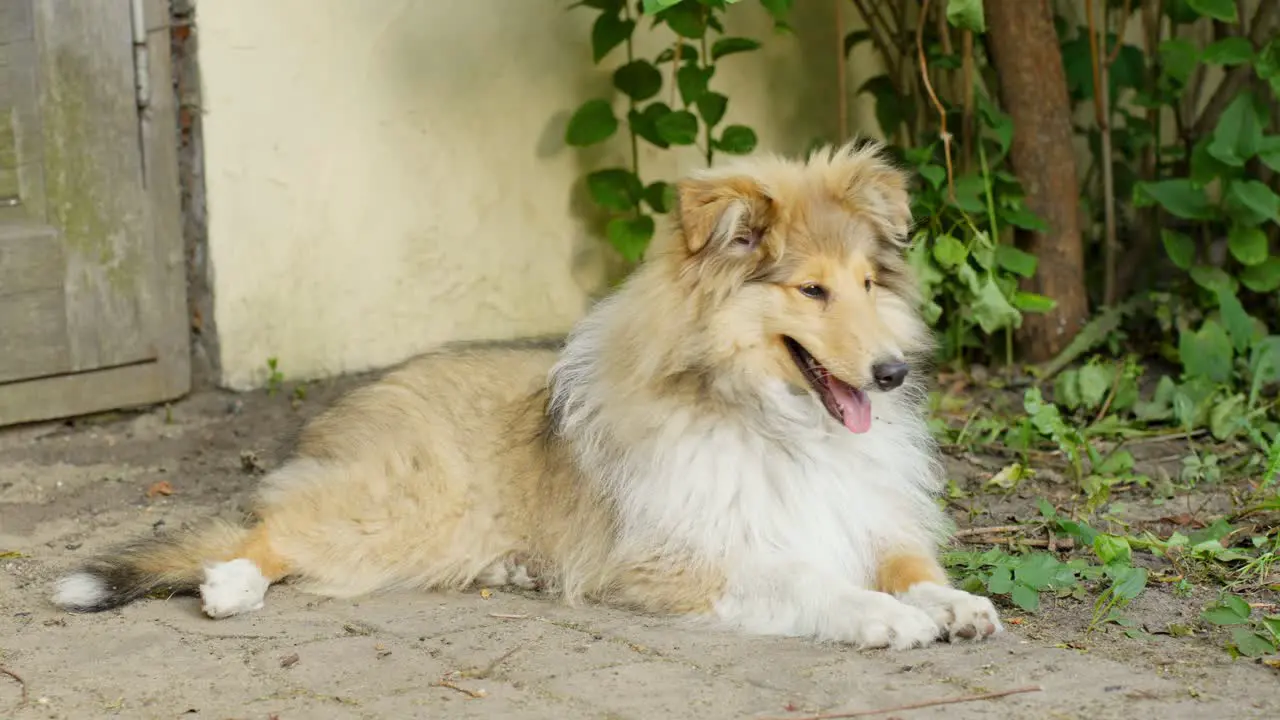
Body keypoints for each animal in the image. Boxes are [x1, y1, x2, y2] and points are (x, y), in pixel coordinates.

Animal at [52, 141, 998, 650]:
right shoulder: (682, 556)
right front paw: (878, 618)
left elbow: (913, 568)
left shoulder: (866, 514)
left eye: (870, 283)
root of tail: (376, 387)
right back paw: (230, 586)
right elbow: (809, 581)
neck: (779, 425)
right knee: (268, 532)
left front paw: (956, 606)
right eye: (811, 291)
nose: (893, 374)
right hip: (397, 507)